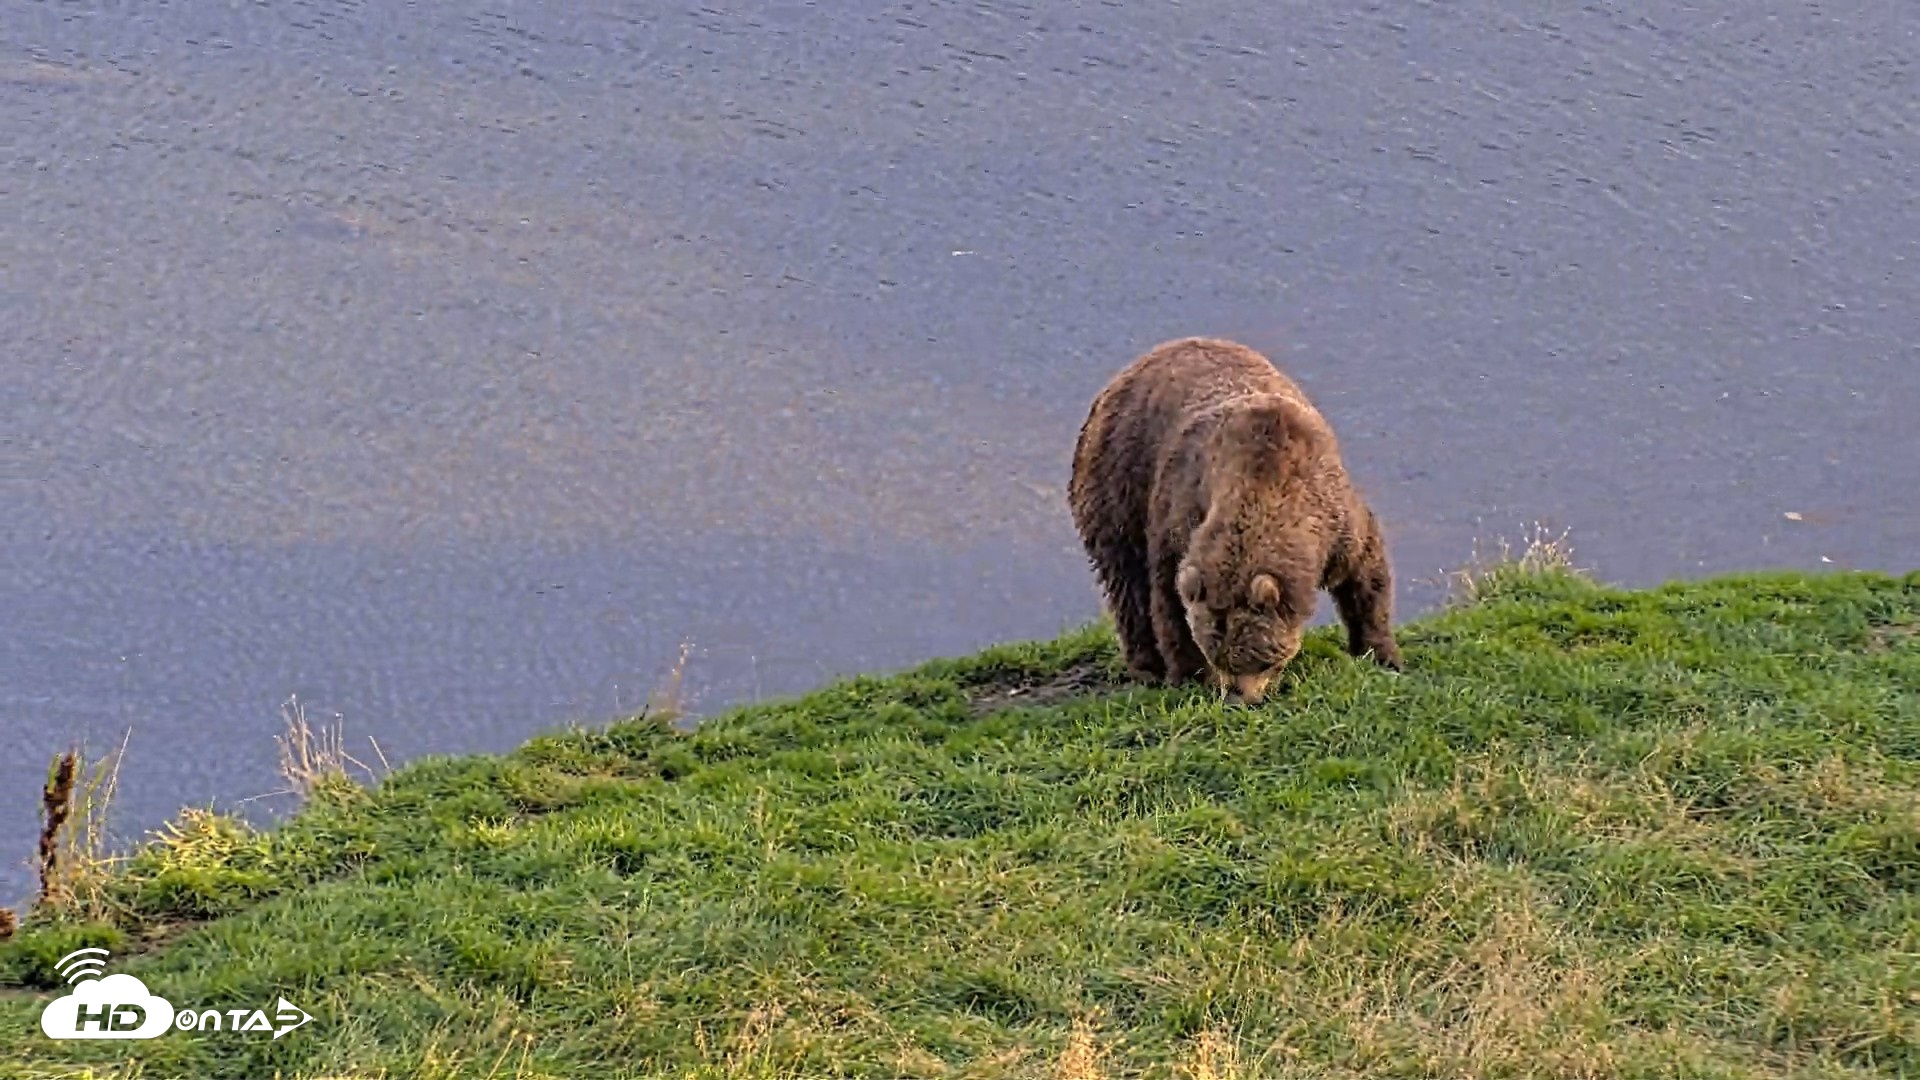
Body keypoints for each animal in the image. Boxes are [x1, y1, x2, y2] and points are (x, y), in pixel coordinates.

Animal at [1067, 336, 1403, 704]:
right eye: (1219, 655)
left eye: (1259, 658)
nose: (1239, 698)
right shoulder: (1181, 512)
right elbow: (1168, 599)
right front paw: (1190, 675)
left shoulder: (1334, 516)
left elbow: (1365, 575)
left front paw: (1381, 653)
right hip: (1118, 482)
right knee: (1127, 580)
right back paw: (1147, 666)